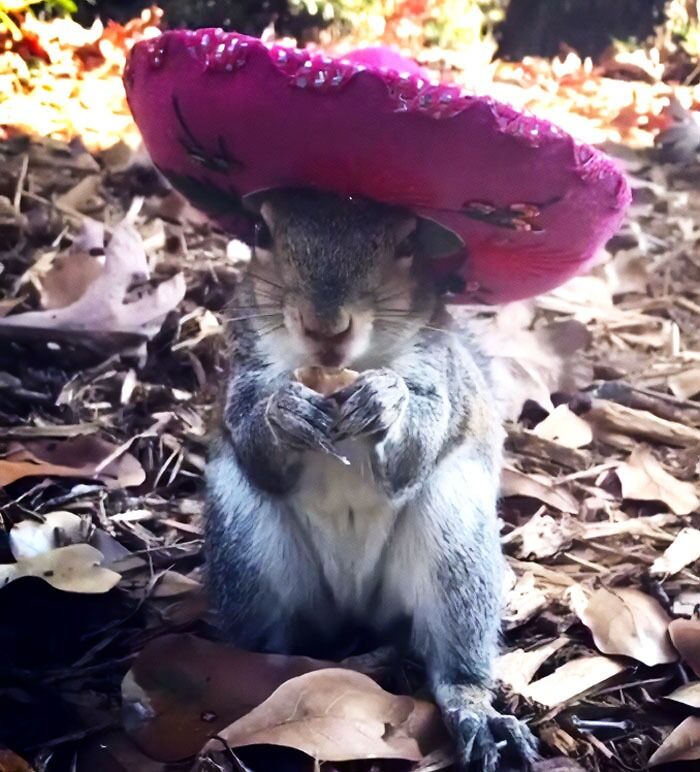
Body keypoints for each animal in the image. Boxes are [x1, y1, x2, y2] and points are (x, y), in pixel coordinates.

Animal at [205, 188, 540, 772]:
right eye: (261, 232)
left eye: (408, 244)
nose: (324, 328)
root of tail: (354, 603)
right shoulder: (244, 369)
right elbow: (255, 442)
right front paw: (284, 411)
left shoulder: (438, 373)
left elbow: (416, 446)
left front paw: (386, 399)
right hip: (246, 551)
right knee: (265, 641)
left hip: (455, 550)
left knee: (456, 664)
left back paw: (478, 713)